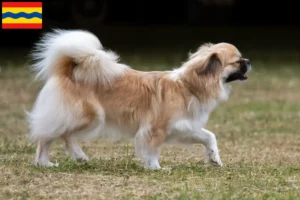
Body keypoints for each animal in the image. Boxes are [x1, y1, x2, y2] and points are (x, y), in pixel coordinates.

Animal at [27, 29, 251, 170]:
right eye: (237, 61)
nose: (248, 61)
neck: (188, 86)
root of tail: (67, 69)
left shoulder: (185, 127)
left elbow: (209, 137)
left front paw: (215, 159)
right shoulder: (155, 129)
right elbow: (152, 150)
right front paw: (156, 168)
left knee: (65, 136)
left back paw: (75, 158)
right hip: (88, 117)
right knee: (49, 136)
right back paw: (45, 162)